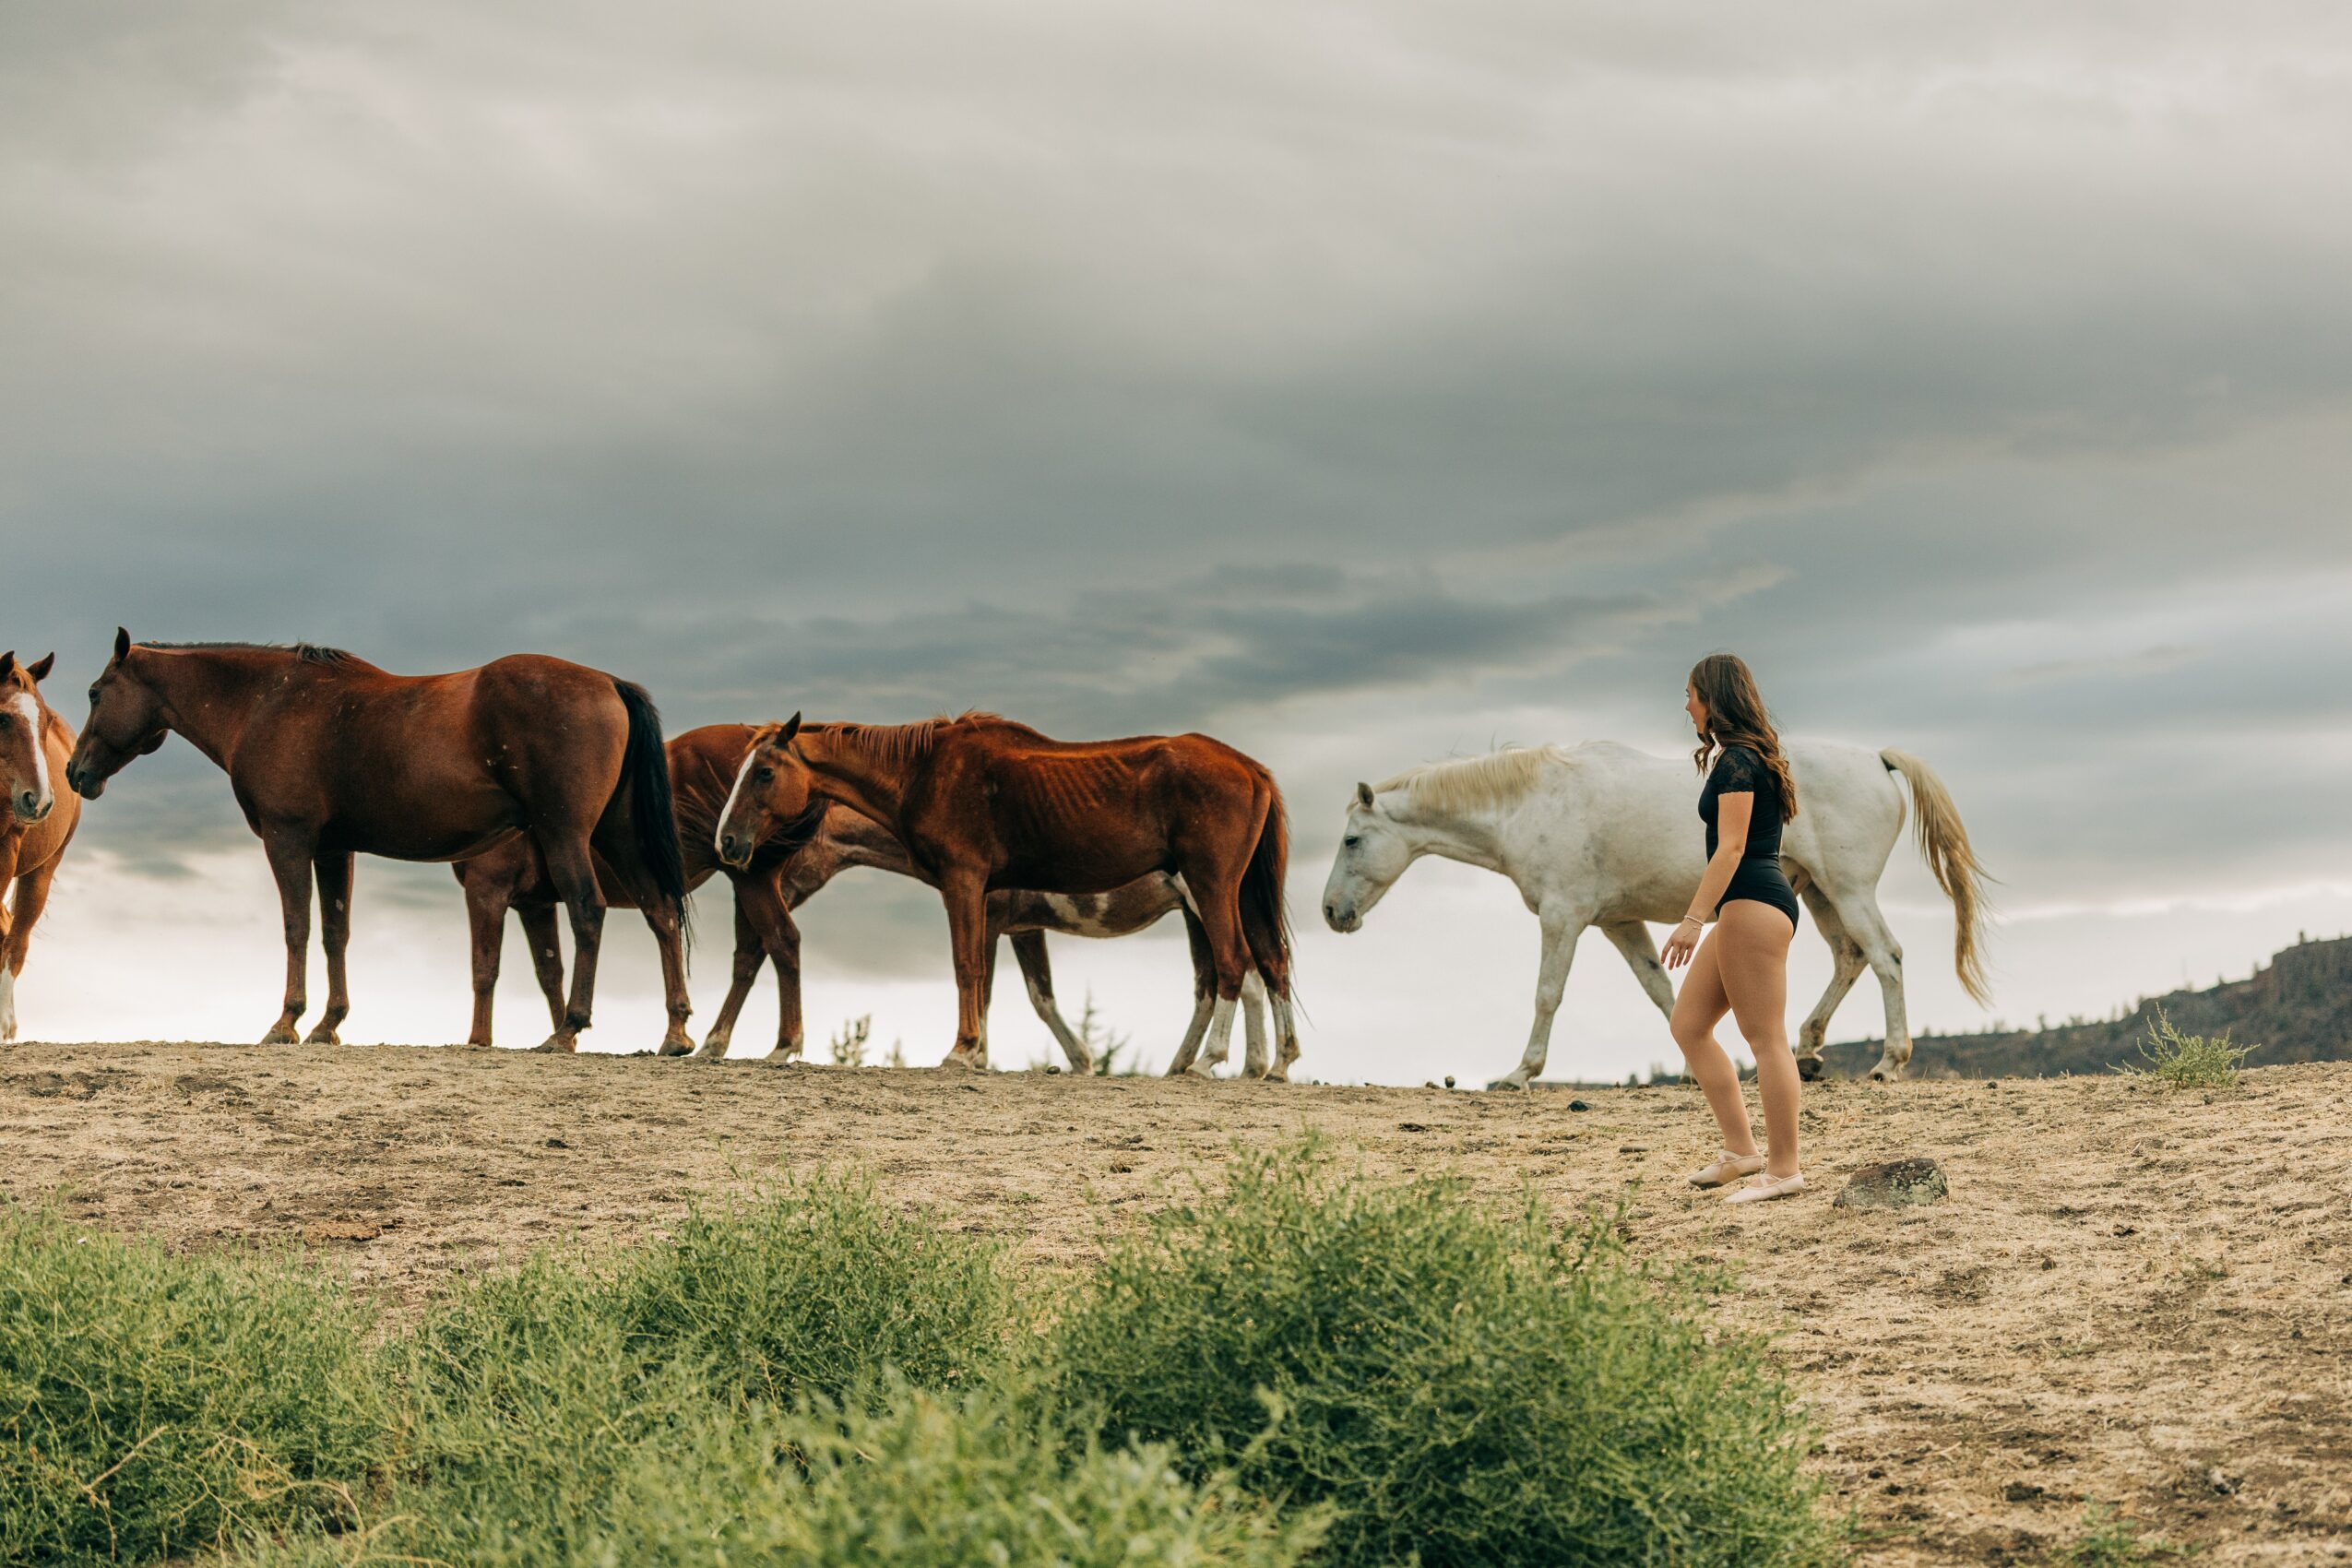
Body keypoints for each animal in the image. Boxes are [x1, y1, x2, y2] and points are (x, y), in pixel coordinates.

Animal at [65, 632, 688, 1051]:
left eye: (96, 692)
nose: (74, 771)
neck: (269, 701)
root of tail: (609, 682)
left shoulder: (288, 841)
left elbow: (297, 927)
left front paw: (287, 1022)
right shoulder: (332, 850)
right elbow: (335, 933)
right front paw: (329, 1024)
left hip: (567, 835)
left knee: (588, 910)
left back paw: (567, 1029)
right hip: (618, 836)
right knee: (659, 911)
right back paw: (675, 1031)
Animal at [713, 713, 1299, 1079]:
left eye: (763, 772)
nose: (727, 843)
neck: (926, 772)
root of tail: (1250, 767)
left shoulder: (970, 890)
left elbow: (969, 970)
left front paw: (964, 1051)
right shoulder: (1013, 922)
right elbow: (1028, 994)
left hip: (1211, 891)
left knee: (1234, 967)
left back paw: (1209, 1062)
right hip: (1235, 895)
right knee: (1268, 965)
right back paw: (1274, 1063)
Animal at [1320, 740, 1990, 1085]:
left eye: (1351, 840)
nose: (1330, 912)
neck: (1532, 804)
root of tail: (1875, 759)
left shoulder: (1563, 917)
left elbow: (1547, 994)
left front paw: (1520, 1073)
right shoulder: (1619, 923)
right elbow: (1661, 991)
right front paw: (1704, 1068)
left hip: (1849, 890)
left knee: (1885, 957)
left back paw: (1888, 1061)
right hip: (1820, 894)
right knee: (1850, 959)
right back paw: (1805, 1050)